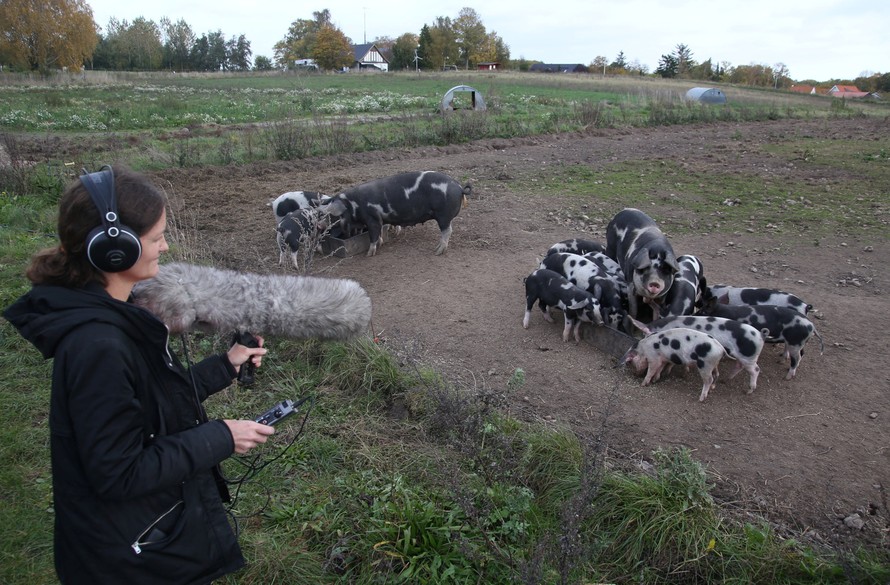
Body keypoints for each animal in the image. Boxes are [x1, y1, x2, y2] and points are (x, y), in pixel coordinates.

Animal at [320, 170, 472, 254]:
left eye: (332, 216)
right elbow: (379, 233)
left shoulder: (372, 218)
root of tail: (459, 187)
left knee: (447, 231)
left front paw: (369, 254)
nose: (320, 225)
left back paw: (437, 251)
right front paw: (381, 243)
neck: (354, 205)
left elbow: (373, 234)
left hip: (443, 215)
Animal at [632, 314, 764, 392]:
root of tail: (760, 335)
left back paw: (749, 390)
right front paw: (684, 372)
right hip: (743, 358)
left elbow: (671, 362)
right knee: (739, 366)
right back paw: (725, 380)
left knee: (756, 370)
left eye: (645, 335)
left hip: (748, 357)